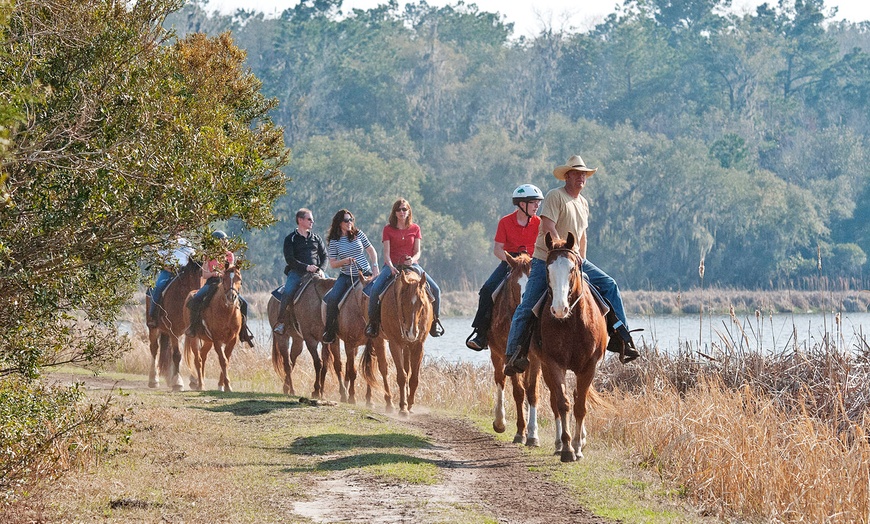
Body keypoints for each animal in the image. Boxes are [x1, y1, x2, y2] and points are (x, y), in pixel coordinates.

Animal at [146, 260, 201, 390]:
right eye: (191, 275)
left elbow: (193, 354)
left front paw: (195, 381)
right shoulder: (174, 331)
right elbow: (177, 355)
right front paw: (178, 383)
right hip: (153, 328)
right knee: (154, 349)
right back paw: (153, 380)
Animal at [268, 272, 338, 400]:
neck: (319, 305)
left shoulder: (325, 341)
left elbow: (325, 365)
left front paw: (321, 392)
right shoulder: (310, 340)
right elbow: (318, 363)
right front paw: (316, 390)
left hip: (297, 340)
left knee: (291, 362)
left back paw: (287, 388)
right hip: (282, 338)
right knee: (287, 364)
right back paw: (291, 390)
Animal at [374, 268, 432, 416]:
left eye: (422, 303)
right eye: (402, 303)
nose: (411, 333)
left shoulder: (418, 345)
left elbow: (414, 378)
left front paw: (409, 404)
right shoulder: (394, 344)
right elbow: (401, 376)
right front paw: (403, 408)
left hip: (407, 346)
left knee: (406, 368)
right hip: (378, 339)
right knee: (383, 369)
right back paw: (389, 403)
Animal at [488, 252, 540, 444]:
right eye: (515, 284)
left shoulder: (535, 358)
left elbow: (532, 391)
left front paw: (532, 434)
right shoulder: (506, 355)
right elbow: (518, 392)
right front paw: (520, 432)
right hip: (496, 355)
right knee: (500, 380)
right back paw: (499, 422)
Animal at [540, 233, 608, 462]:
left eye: (572, 268)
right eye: (548, 269)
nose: (559, 309)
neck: (572, 322)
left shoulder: (589, 366)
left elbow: (580, 406)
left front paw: (578, 446)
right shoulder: (553, 363)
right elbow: (563, 403)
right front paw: (567, 448)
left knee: (579, 396)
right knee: (555, 401)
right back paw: (559, 444)